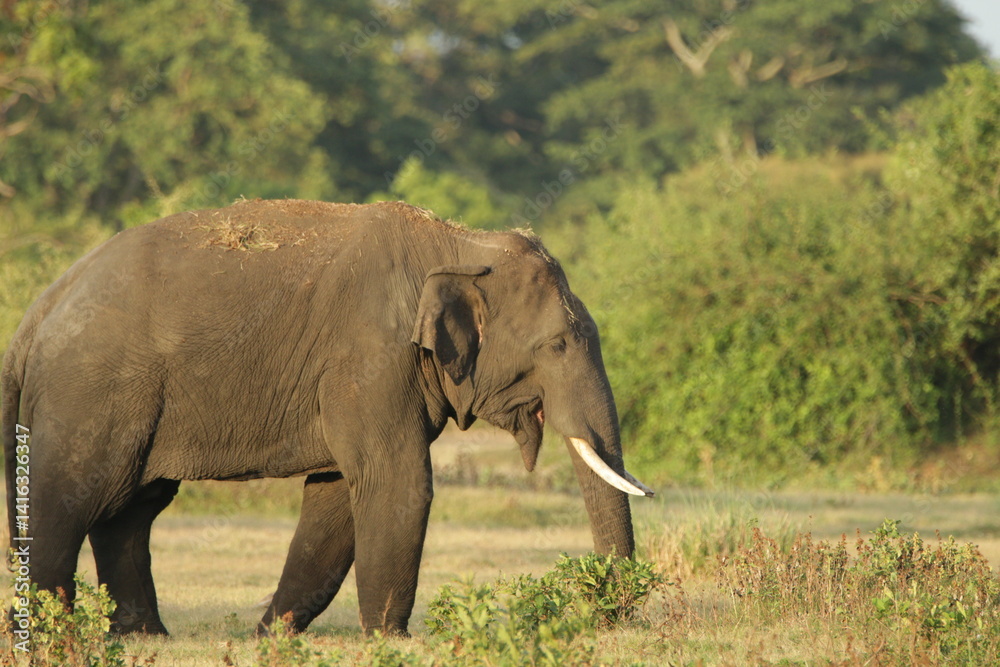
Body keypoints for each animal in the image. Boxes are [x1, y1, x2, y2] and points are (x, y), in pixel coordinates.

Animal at [1, 199, 652, 637]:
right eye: (559, 346)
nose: (605, 617)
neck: (461, 246)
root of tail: (37, 311)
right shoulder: (369, 357)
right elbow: (396, 483)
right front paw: (391, 641)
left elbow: (338, 494)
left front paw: (271, 636)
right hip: (93, 392)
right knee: (73, 498)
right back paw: (57, 634)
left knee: (132, 509)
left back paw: (145, 638)